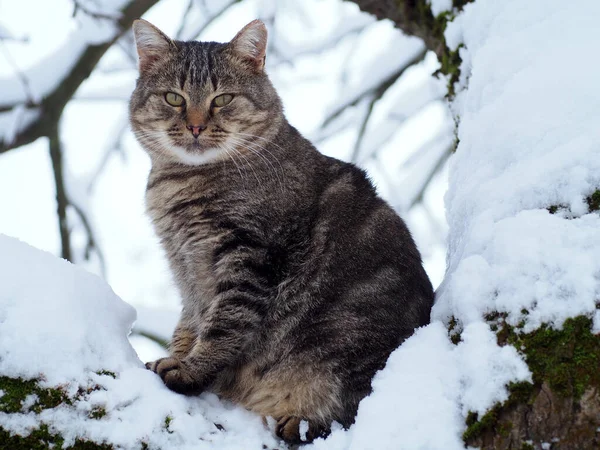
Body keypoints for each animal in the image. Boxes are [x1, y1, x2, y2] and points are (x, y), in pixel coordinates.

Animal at [129, 19, 434, 444]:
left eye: (222, 99)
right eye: (174, 98)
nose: (195, 125)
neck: (181, 182)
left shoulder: (249, 255)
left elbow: (224, 326)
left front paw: (190, 371)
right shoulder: (185, 267)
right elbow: (189, 323)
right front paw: (178, 354)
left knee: (350, 411)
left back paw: (300, 421)